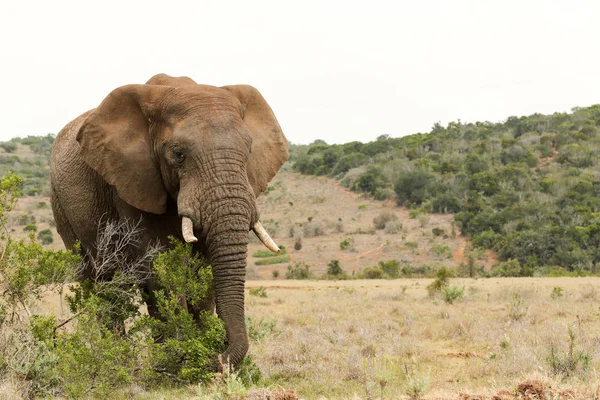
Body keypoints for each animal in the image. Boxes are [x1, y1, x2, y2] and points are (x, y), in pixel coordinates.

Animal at [49, 72, 288, 368]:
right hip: (61, 205)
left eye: (250, 150)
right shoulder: (132, 181)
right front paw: (178, 362)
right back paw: (116, 361)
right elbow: (160, 268)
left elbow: (203, 270)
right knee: (100, 283)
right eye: (178, 154)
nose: (219, 356)